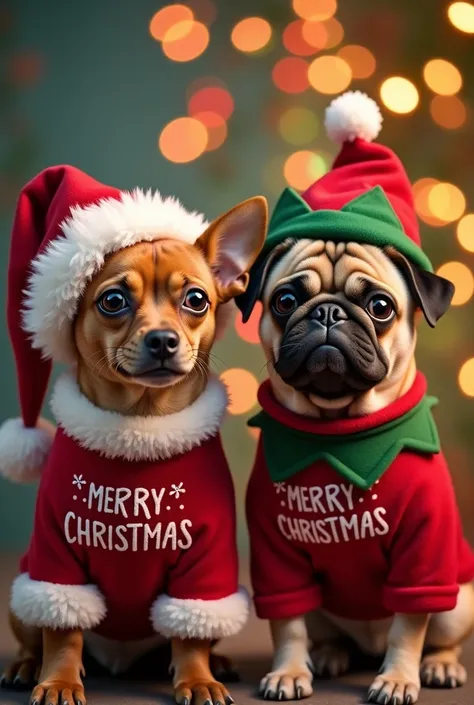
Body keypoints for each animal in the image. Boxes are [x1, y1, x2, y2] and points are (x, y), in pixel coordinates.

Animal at [0, 179, 266, 704]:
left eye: (197, 300)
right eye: (113, 301)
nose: (162, 339)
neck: (140, 428)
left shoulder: (204, 566)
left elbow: (189, 634)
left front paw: (198, 679)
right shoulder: (57, 557)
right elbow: (63, 632)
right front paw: (58, 681)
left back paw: (218, 663)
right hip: (24, 590)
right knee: (38, 632)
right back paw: (25, 666)